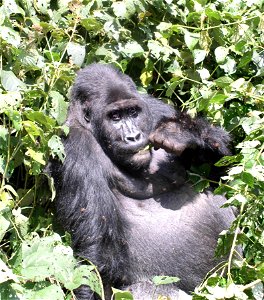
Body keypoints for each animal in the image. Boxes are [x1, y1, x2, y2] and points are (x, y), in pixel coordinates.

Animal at [48, 64, 236, 298]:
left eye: (133, 112)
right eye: (115, 117)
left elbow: (225, 175)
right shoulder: (74, 146)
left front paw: (181, 133)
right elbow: (96, 252)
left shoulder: (156, 108)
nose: (133, 137)